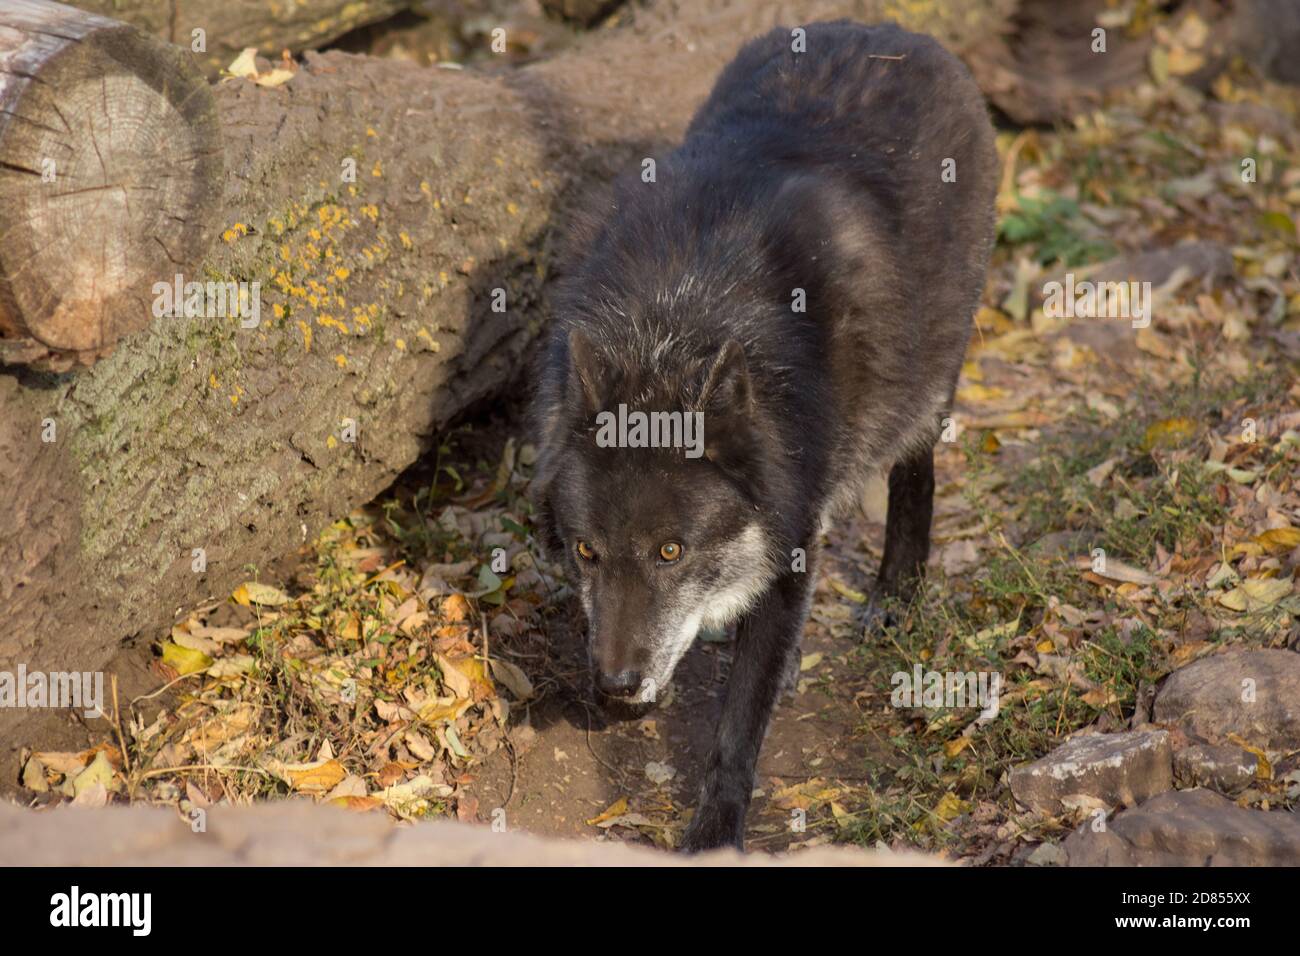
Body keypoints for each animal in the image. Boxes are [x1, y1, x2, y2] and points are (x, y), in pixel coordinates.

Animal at [527, 18, 993, 853]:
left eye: (670, 551)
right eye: (585, 550)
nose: (615, 689)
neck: (675, 326)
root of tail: (890, 30)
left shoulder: (789, 538)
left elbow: (739, 726)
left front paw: (715, 831)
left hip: (926, 380)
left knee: (916, 469)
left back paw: (895, 597)